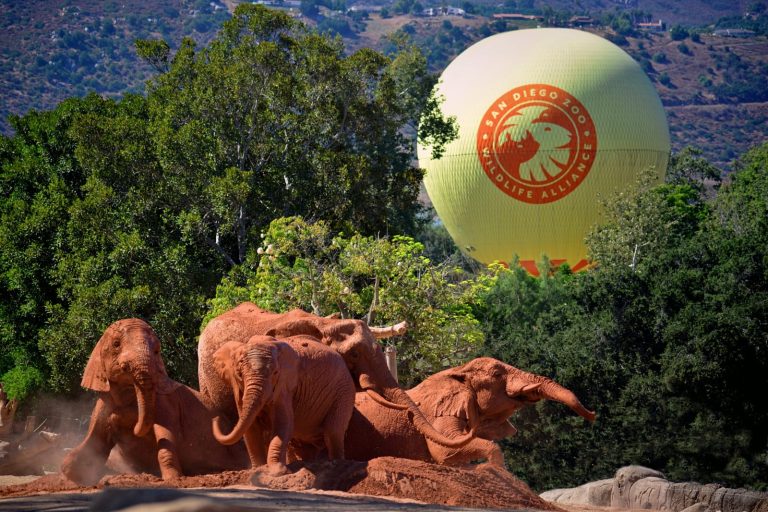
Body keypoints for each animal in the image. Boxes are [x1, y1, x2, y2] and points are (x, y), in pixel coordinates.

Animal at [60, 319, 249, 485]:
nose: (130, 424)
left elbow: (166, 436)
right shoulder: (103, 405)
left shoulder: (164, 403)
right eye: (116, 344)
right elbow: (94, 443)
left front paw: (173, 479)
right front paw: (73, 472)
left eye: (157, 351)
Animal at [209, 334, 355, 474]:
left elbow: (283, 425)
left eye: (275, 373)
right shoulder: (239, 390)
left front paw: (277, 471)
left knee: (333, 431)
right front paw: (258, 469)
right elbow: (251, 428)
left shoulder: (284, 386)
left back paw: (336, 463)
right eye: (239, 374)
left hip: (344, 391)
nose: (215, 418)